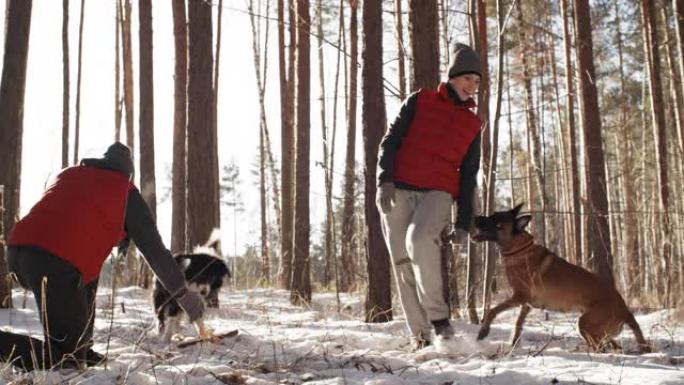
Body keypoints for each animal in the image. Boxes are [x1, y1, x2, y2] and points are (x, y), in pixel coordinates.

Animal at [472, 204, 648, 352]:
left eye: (495, 221)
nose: (475, 217)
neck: (519, 249)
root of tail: (625, 309)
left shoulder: (519, 297)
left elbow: (492, 311)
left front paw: (483, 330)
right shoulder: (526, 303)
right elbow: (518, 323)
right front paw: (514, 342)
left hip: (585, 324)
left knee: (599, 347)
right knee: (609, 344)